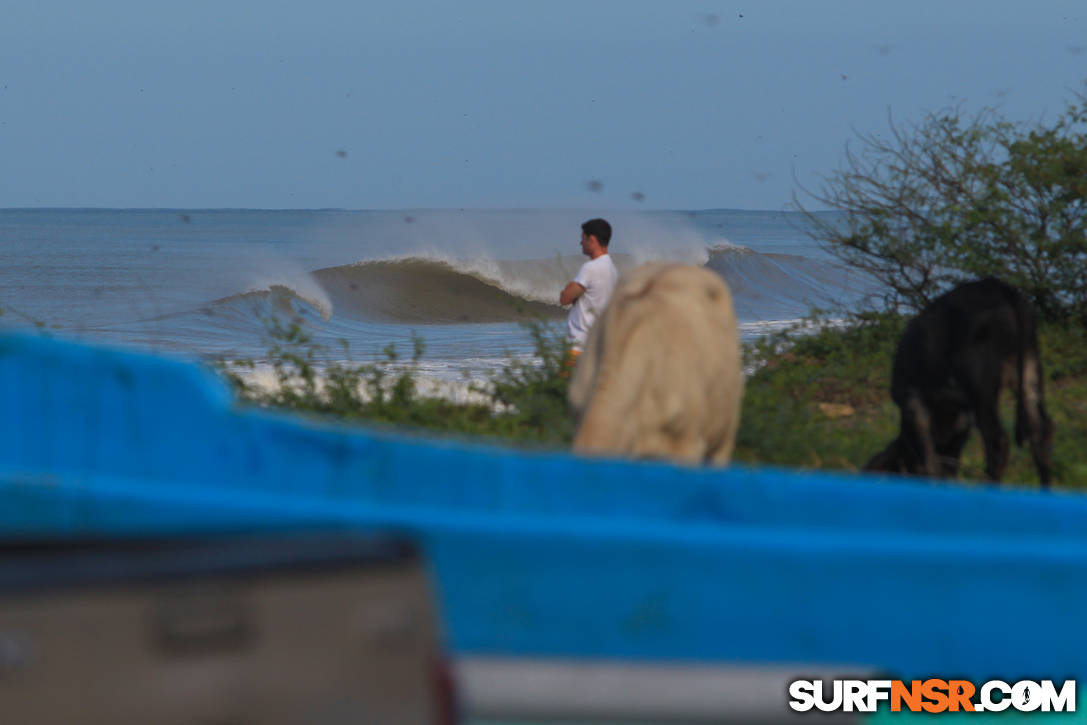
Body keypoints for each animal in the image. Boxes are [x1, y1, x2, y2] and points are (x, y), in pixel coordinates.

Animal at [865, 278, 1052, 486]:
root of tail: (999, 287)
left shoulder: (913, 403)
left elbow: (930, 463)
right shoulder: (962, 418)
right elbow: (948, 464)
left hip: (981, 386)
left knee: (997, 441)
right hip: (1029, 368)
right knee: (1040, 432)